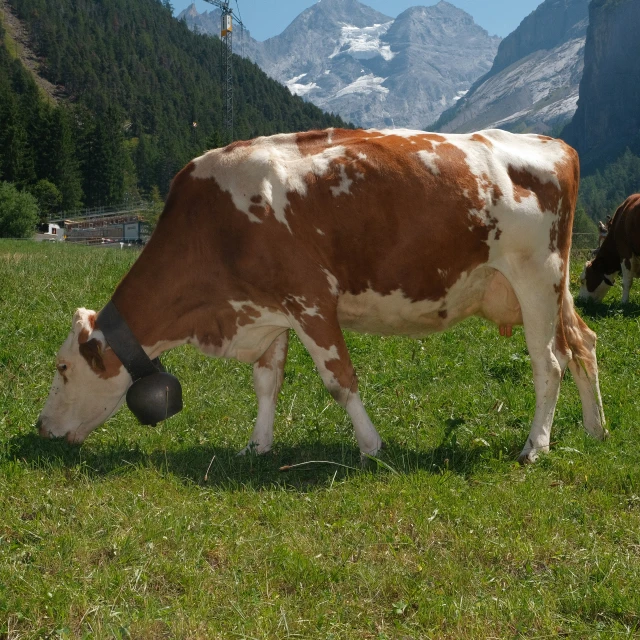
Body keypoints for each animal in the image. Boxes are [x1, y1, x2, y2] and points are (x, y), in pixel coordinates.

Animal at [37, 127, 608, 462]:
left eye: (63, 368)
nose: (40, 426)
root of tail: (553, 143)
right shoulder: (268, 310)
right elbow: (266, 383)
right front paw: (257, 445)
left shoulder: (310, 301)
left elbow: (339, 381)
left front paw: (371, 446)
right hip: (553, 287)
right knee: (583, 343)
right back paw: (595, 429)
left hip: (535, 277)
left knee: (548, 362)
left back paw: (535, 447)